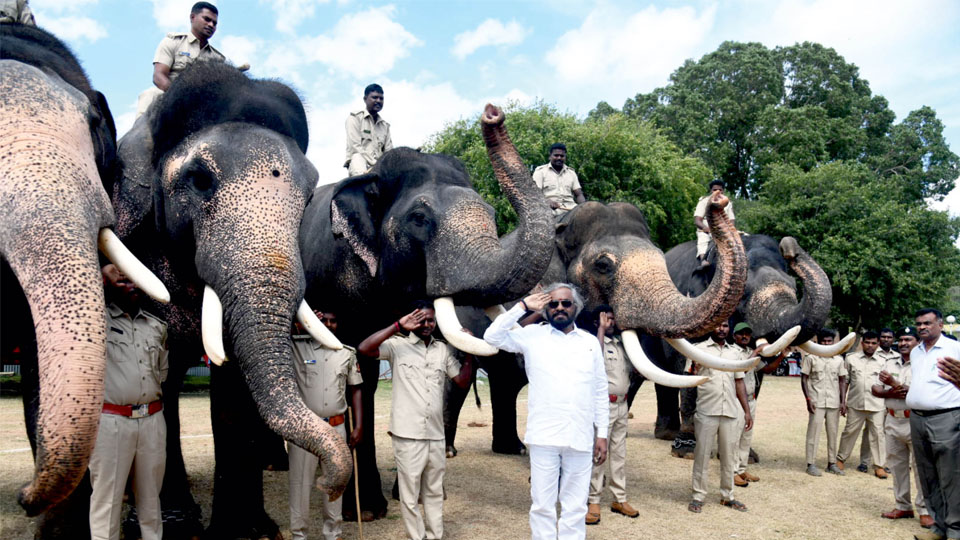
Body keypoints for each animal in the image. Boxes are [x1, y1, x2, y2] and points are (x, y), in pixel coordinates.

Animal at [110, 61, 350, 538]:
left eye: (309, 197)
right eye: (200, 179)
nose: (329, 485)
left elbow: (235, 379)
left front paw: (248, 531)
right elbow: (161, 379)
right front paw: (176, 526)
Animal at [298, 104, 555, 515]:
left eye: (492, 214)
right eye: (419, 219)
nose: (492, 113)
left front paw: (402, 496)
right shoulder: (341, 277)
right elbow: (355, 368)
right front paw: (366, 510)